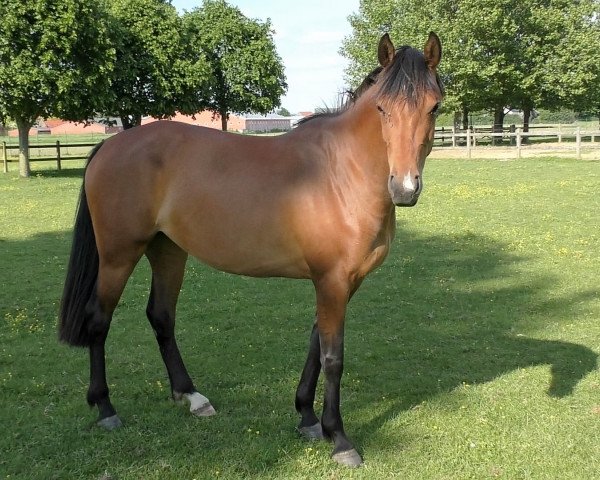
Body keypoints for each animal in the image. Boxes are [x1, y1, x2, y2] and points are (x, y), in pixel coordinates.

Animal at [59, 31, 440, 466]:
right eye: (382, 108)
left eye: (434, 107)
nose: (405, 188)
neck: (341, 173)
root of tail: (108, 147)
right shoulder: (332, 281)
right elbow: (332, 357)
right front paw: (339, 438)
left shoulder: (342, 282)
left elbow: (314, 344)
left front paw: (307, 418)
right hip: (119, 255)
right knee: (98, 319)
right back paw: (105, 408)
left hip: (168, 251)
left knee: (161, 316)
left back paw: (191, 396)